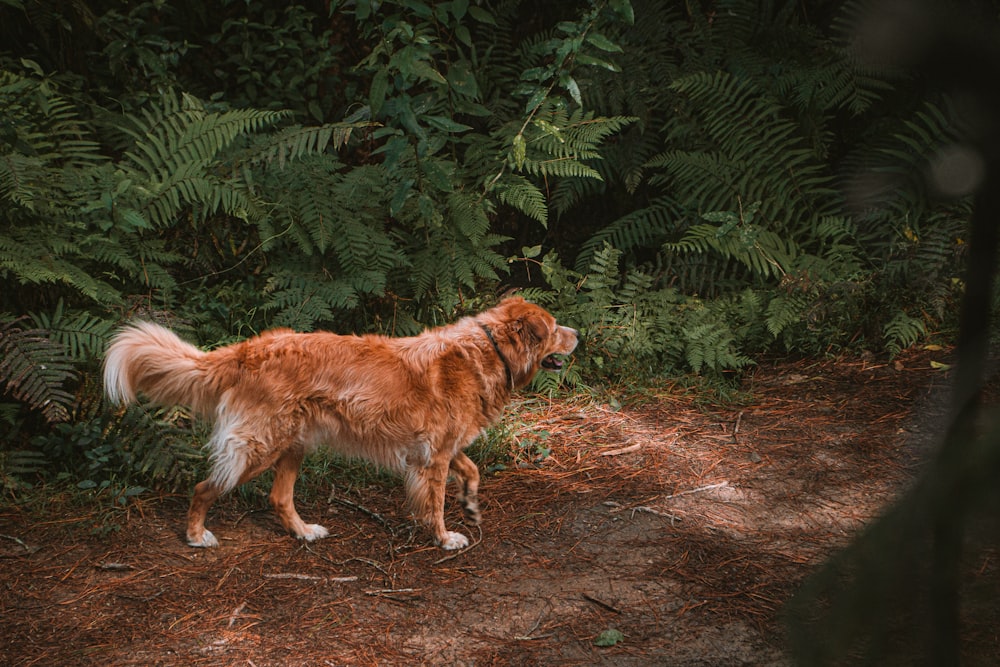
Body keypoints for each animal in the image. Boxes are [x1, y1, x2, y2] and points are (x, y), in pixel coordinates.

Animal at [102, 298, 580, 548]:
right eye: (556, 327)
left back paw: (304, 532)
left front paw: (471, 502)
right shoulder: (435, 455)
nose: (580, 335)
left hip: (294, 445)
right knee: (204, 488)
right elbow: (436, 503)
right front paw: (444, 537)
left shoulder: (440, 450)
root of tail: (248, 350)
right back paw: (197, 534)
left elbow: (473, 469)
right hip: (259, 448)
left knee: (278, 498)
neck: (487, 350)